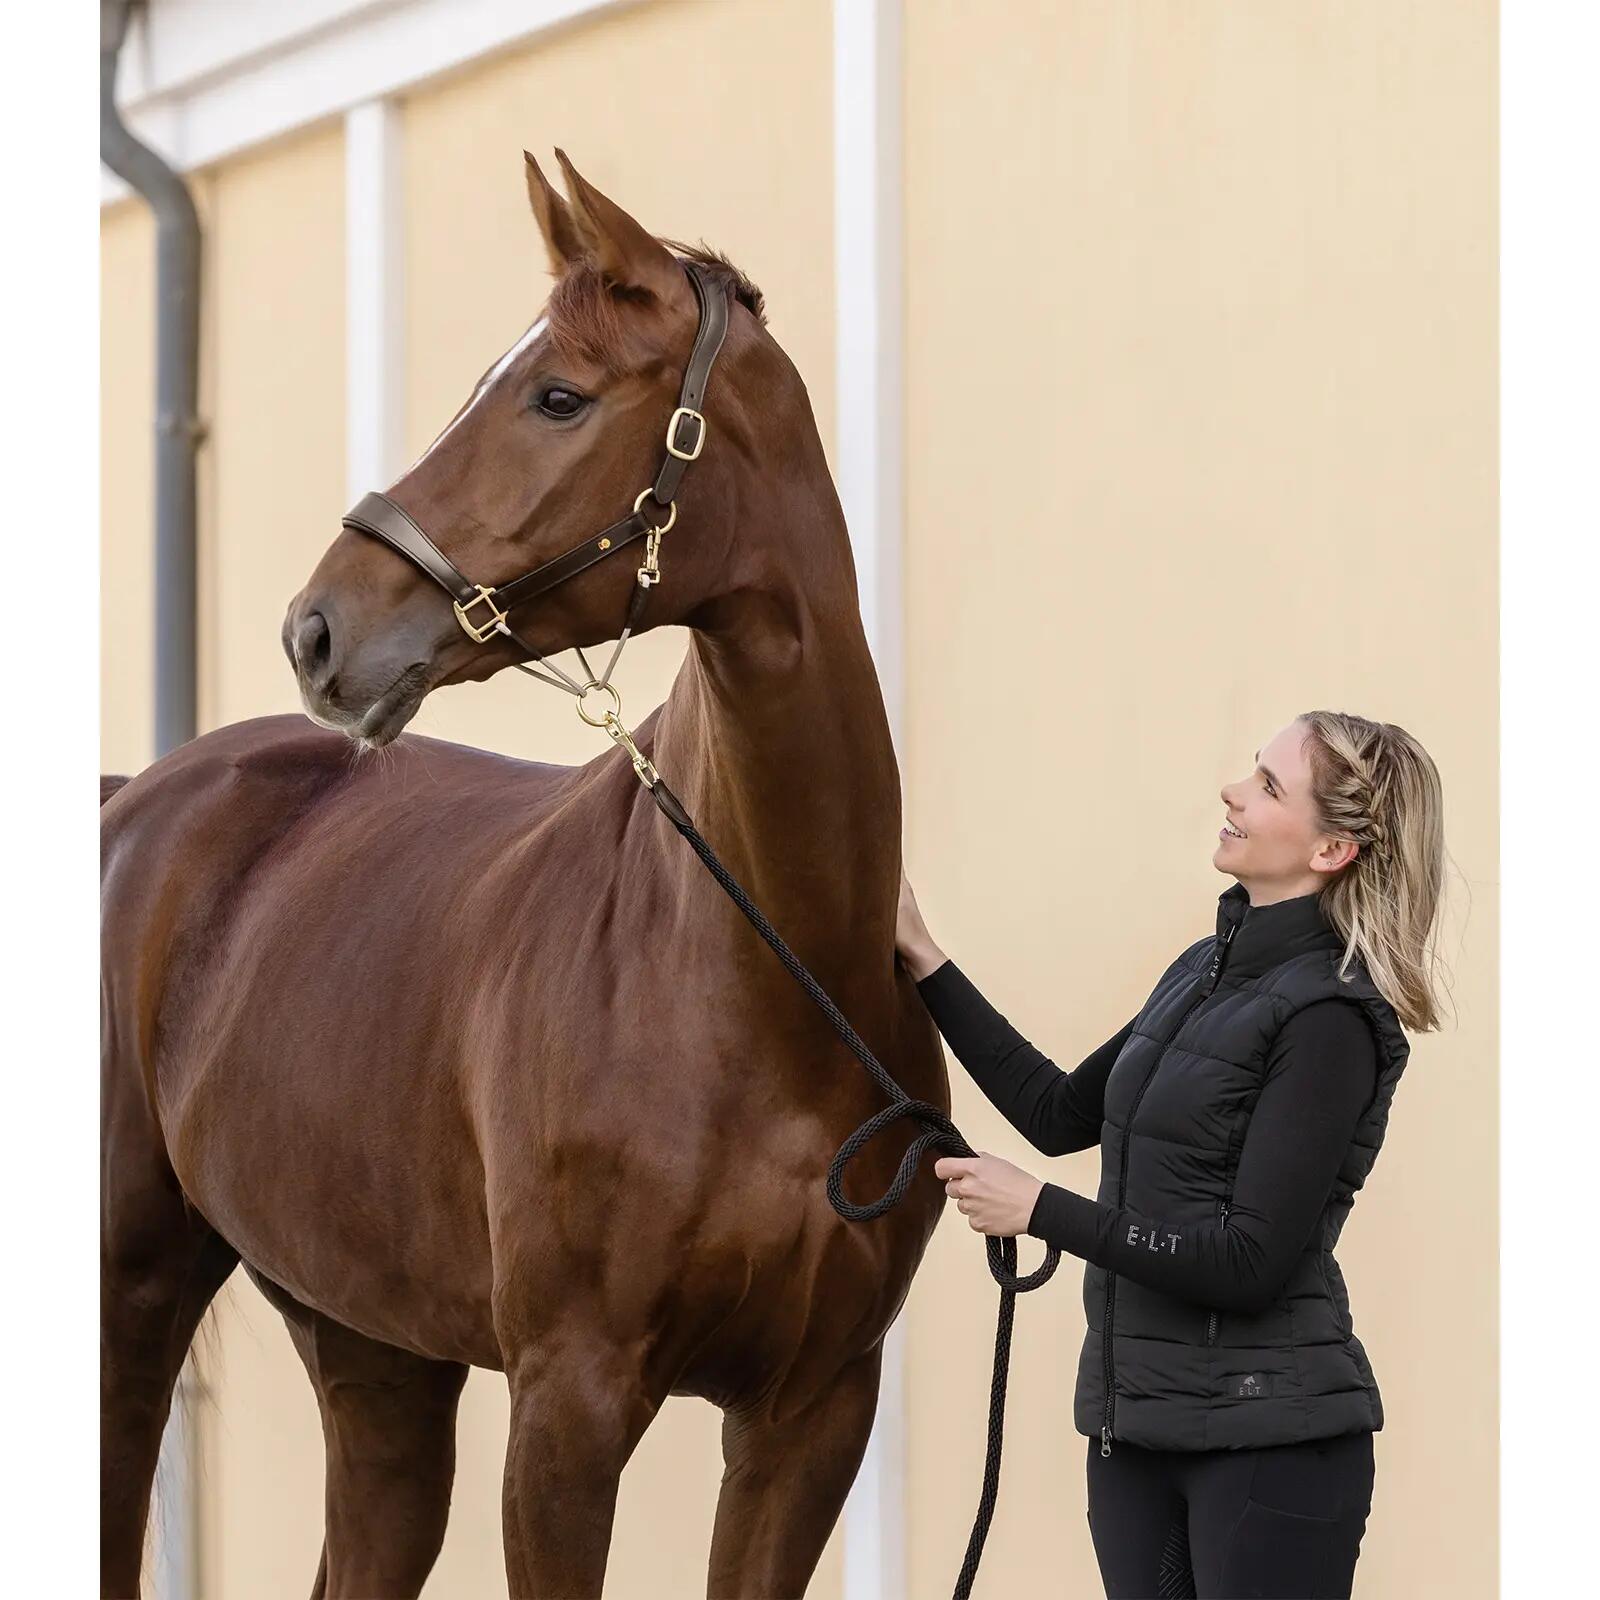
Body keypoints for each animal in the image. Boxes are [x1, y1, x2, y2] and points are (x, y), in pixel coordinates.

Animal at [100, 149, 950, 1599]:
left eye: (558, 395)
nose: (316, 630)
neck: (757, 978)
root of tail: (129, 802)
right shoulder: (569, 1403)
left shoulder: (815, 1411)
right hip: (129, 1301)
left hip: (372, 1350)